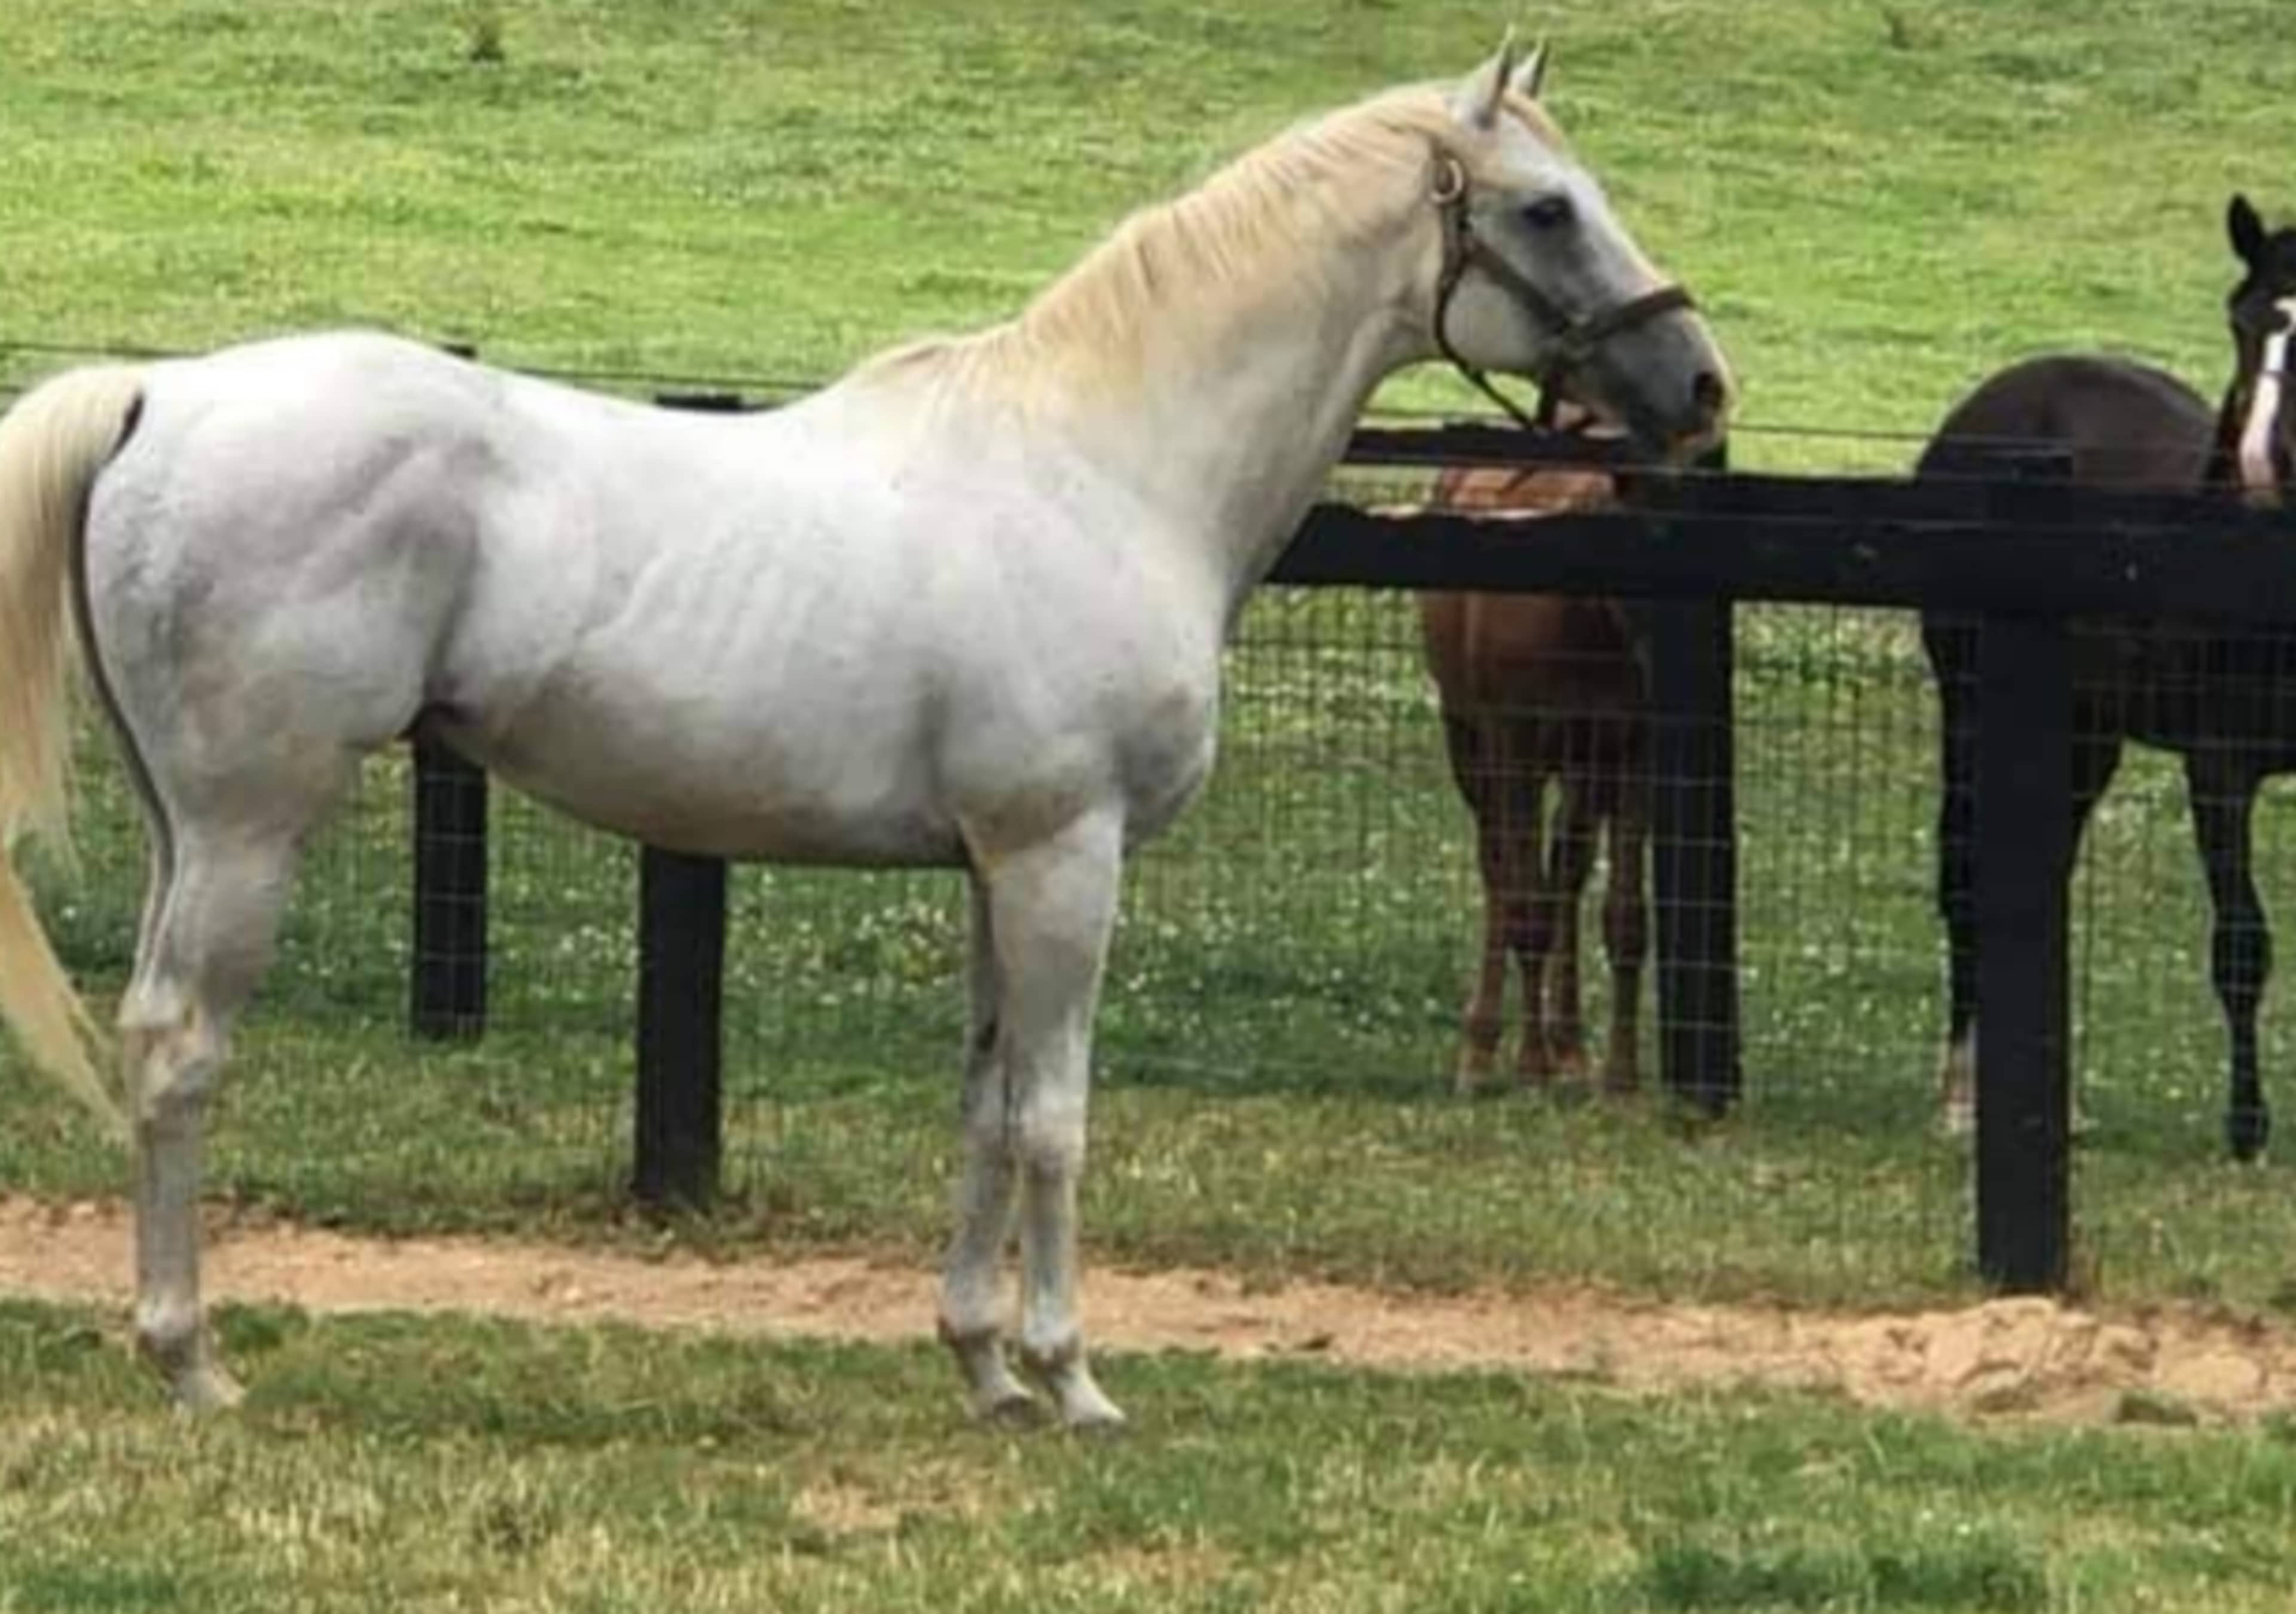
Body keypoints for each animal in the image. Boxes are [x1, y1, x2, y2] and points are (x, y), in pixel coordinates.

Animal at [1418, 435, 1649, 1094]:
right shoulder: (1515, 745)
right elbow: (1523, 903)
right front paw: (1529, 1064)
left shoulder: (1633, 756)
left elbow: (1625, 917)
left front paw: (1621, 1078)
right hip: (1471, 745)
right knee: (1500, 871)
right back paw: (1481, 1049)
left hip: (1582, 768)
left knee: (1564, 876)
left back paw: (1570, 1049)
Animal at [1922, 194, 2296, 1161]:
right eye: (2241, 321)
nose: (2260, 467)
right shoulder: (2219, 769)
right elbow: (2242, 947)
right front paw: (2248, 1132)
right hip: (1971, 708)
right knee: (1968, 869)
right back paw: (1961, 1094)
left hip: (2082, 729)